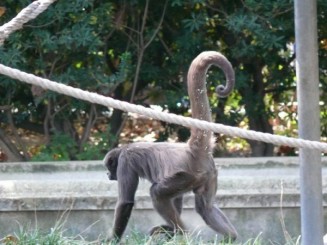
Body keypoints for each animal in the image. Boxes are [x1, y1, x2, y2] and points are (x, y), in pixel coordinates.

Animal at [104, 50, 238, 242]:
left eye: (109, 168)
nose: (107, 174)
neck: (124, 148)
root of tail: (191, 150)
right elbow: (178, 201)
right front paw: (169, 230)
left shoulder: (124, 161)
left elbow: (125, 203)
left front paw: (112, 240)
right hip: (209, 175)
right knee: (206, 208)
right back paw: (230, 237)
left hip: (189, 176)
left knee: (157, 193)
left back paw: (183, 232)